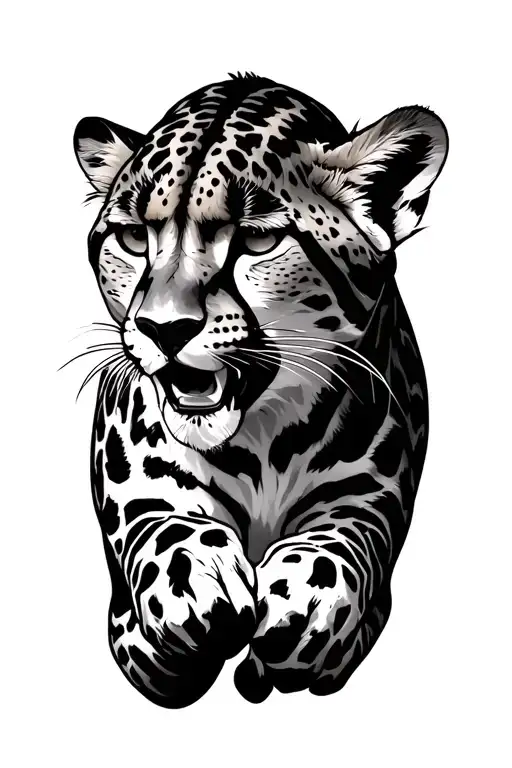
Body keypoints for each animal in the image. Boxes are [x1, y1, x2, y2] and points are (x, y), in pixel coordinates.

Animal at [73, 72, 448, 708]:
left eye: (256, 242)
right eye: (132, 238)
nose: (162, 328)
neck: (262, 442)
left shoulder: (369, 489)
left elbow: (344, 543)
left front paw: (307, 600)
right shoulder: (139, 476)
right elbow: (160, 525)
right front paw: (191, 584)